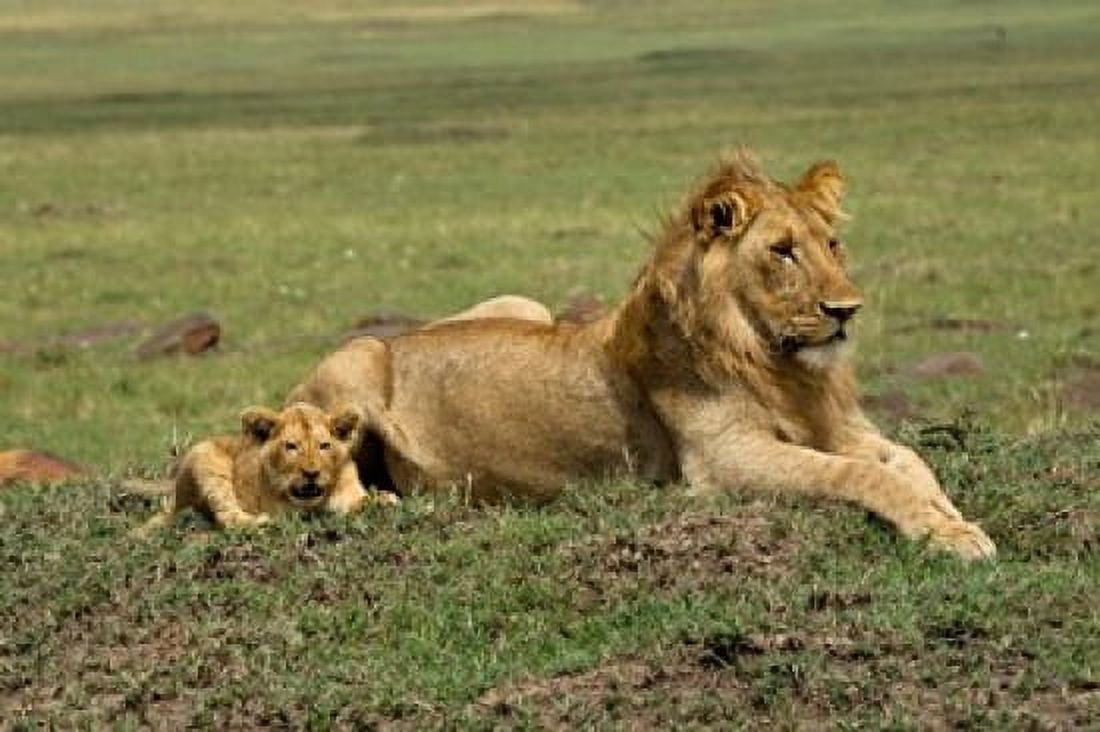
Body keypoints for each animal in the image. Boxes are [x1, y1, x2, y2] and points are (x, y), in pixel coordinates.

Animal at [133, 402, 386, 536]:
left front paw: (380, 500)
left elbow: (364, 500)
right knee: (227, 519)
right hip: (205, 458)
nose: (311, 474)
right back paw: (263, 522)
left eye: (324, 446)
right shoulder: (285, 509)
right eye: (291, 446)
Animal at [287, 151, 995, 560]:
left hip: (523, 304)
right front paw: (949, 536)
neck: (774, 364)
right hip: (355, 361)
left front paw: (952, 519)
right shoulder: (726, 460)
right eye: (782, 251)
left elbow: (911, 463)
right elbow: (858, 476)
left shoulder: (841, 426)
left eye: (832, 244)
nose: (848, 310)